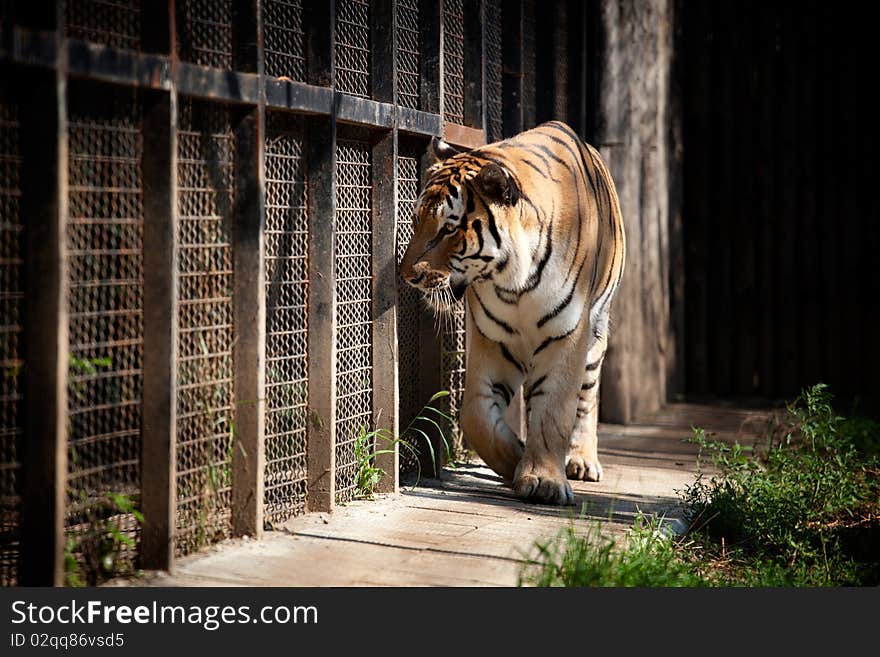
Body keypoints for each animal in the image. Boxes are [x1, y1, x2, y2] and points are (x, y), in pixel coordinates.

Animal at [398, 120, 624, 504]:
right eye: (416, 221)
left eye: (449, 228)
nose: (407, 275)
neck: (513, 280)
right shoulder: (494, 339)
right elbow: (477, 416)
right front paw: (518, 460)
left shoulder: (566, 336)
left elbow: (554, 410)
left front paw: (545, 480)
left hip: (595, 336)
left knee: (587, 397)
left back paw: (582, 460)